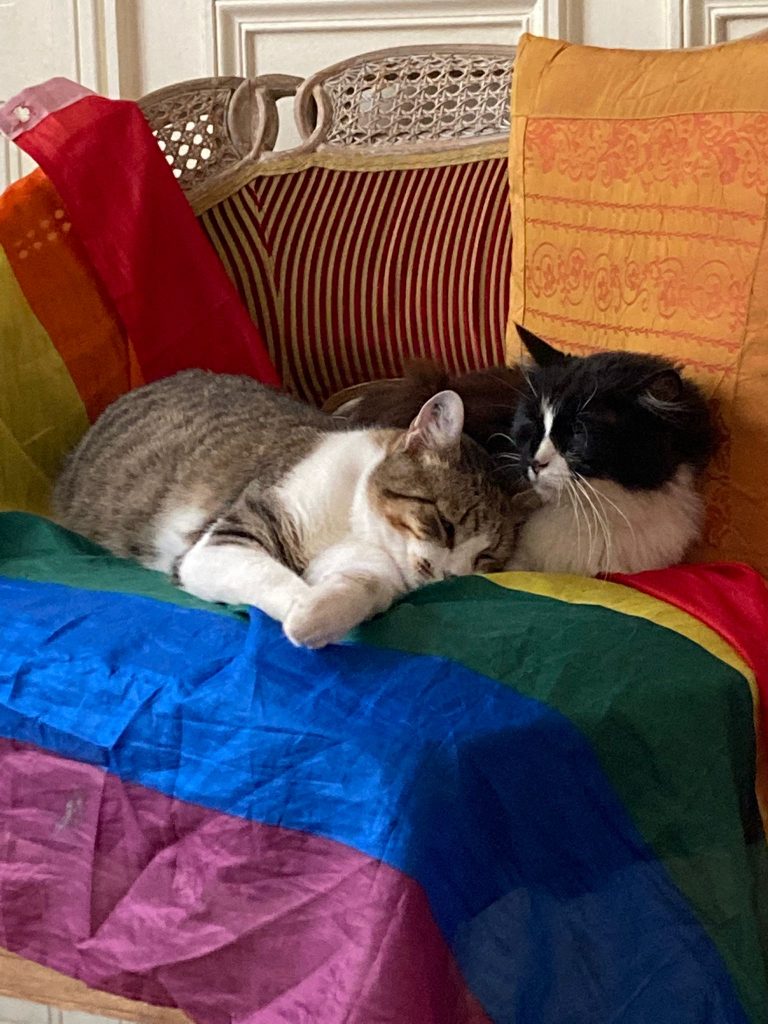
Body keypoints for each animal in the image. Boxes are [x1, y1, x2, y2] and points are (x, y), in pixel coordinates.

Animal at [53, 370, 523, 648]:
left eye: (486, 559)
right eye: (445, 524)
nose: (450, 577)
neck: (352, 520)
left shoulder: (365, 567)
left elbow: (364, 585)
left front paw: (321, 614)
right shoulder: (224, 540)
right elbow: (275, 578)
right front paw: (303, 613)